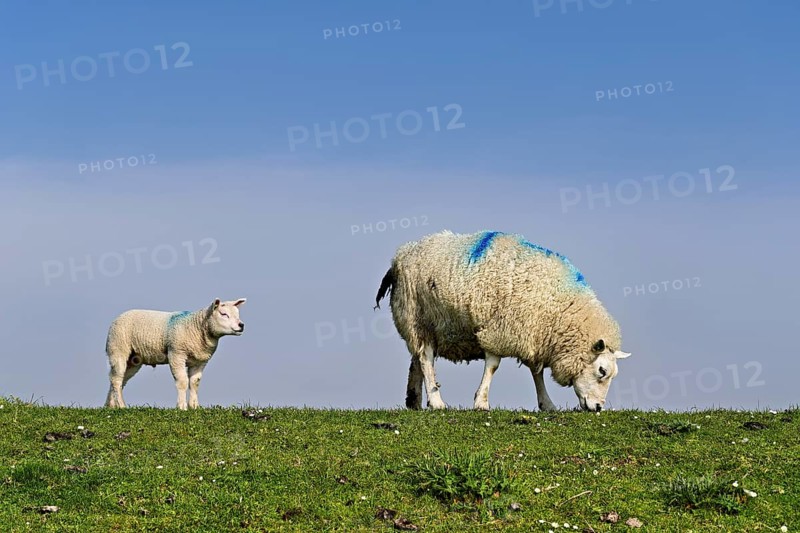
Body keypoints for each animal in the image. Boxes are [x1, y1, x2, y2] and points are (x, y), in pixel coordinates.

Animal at [104, 298, 246, 410]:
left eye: (237, 313)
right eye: (223, 314)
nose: (241, 325)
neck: (197, 327)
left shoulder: (201, 360)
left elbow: (195, 382)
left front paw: (194, 406)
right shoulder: (176, 353)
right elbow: (183, 381)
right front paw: (182, 407)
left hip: (134, 360)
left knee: (117, 378)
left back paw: (111, 405)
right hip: (118, 348)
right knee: (117, 379)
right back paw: (121, 406)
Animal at [374, 230, 631, 412]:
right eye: (601, 371)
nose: (598, 408)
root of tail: (402, 253)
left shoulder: (532, 334)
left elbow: (536, 372)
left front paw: (546, 404)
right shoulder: (499, 328)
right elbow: (493, 366)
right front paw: (481, 402)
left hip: (426, 326)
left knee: (416, 358)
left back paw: (414, 400)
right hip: (417, 316)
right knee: (426, 359)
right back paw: (436, 401)